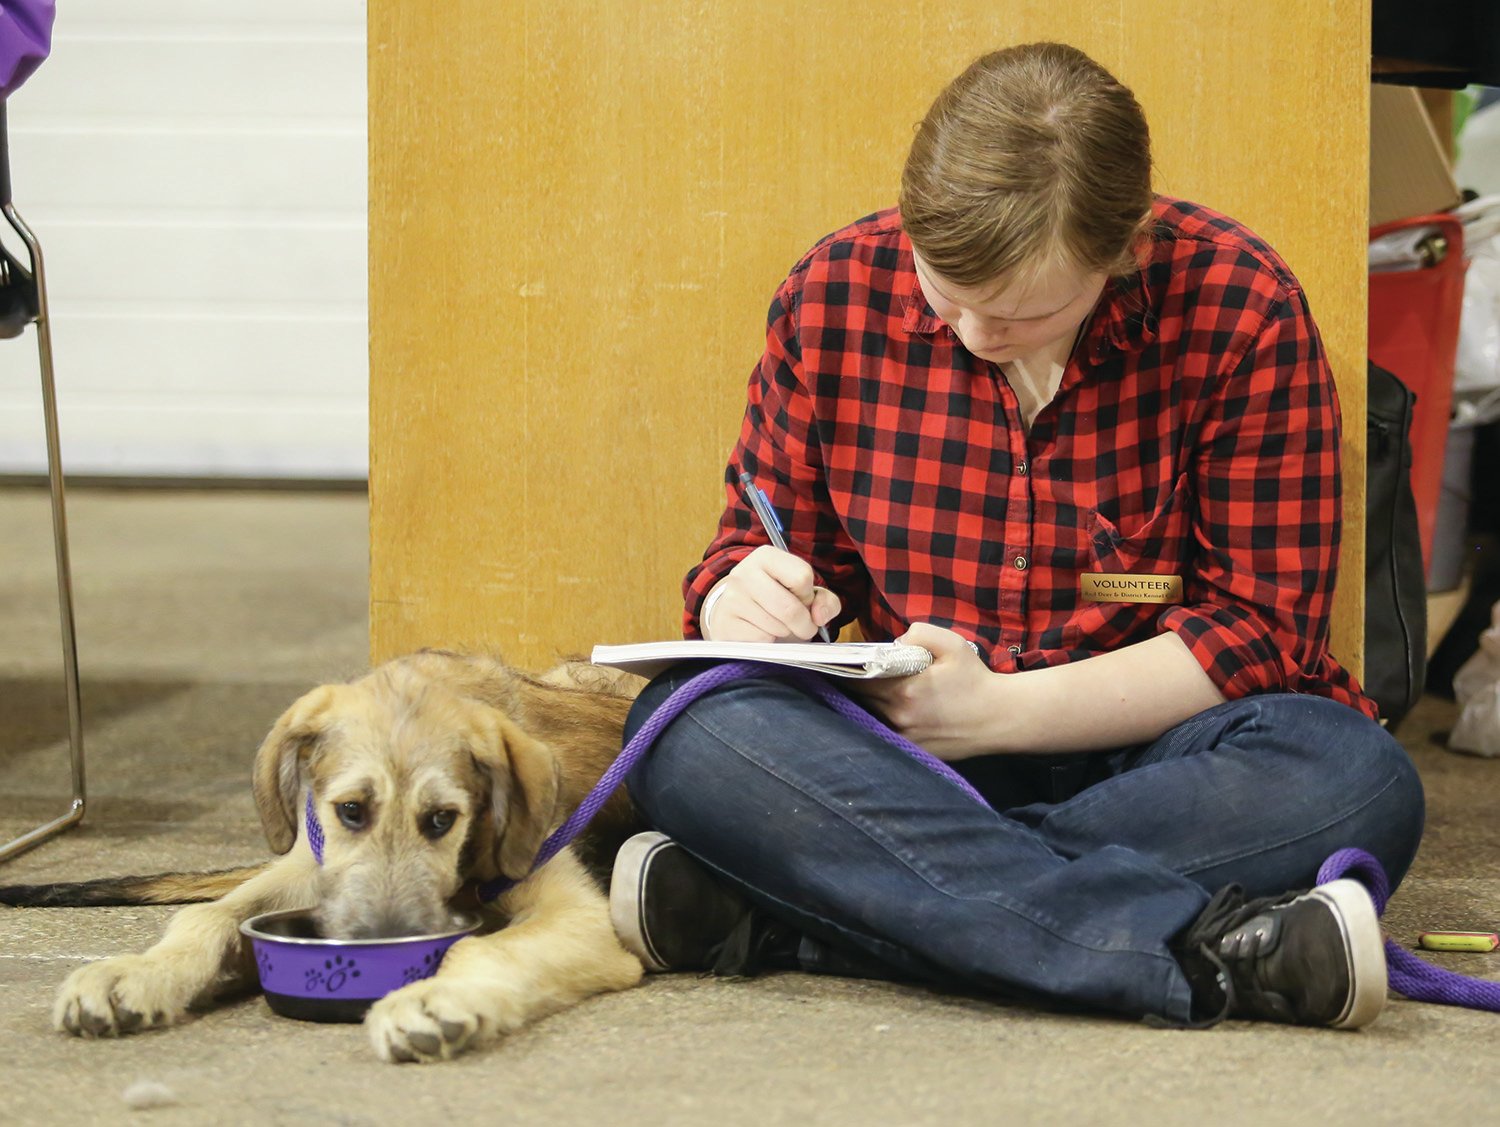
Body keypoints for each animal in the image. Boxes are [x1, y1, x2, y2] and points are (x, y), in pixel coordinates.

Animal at [5, 648, 651, 1062]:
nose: (377, 945)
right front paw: (137, 972)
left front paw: (433, 997)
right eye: (351, 811)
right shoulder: (311, 866)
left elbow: (484, 947)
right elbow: (207, 916)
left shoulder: (576, 912)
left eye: (442, 820)